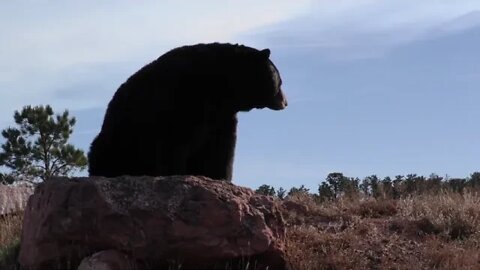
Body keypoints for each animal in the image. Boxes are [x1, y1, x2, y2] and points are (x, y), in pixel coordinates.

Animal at [88, 42, 286, 181]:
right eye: (280, 81)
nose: (286, 102)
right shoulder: (183, 98)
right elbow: (174, 141)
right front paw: (175, 174)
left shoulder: (221, 116)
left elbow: (222, 147)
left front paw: (221, 177)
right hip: (118, 141)